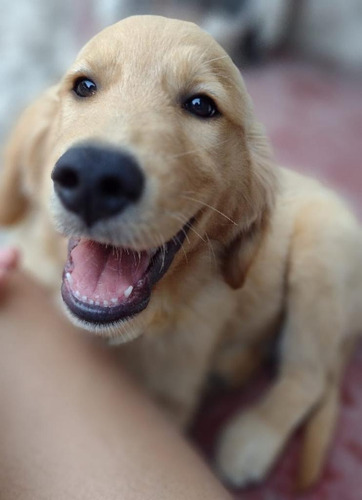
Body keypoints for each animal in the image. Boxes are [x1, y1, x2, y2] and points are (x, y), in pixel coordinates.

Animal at [0, 15, 362, 488]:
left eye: (201, 105)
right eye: (84, 86)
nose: (95, 177)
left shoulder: (171, 404)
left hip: (322, 256)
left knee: (308, 377)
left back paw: (251, 439)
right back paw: (233, 365)